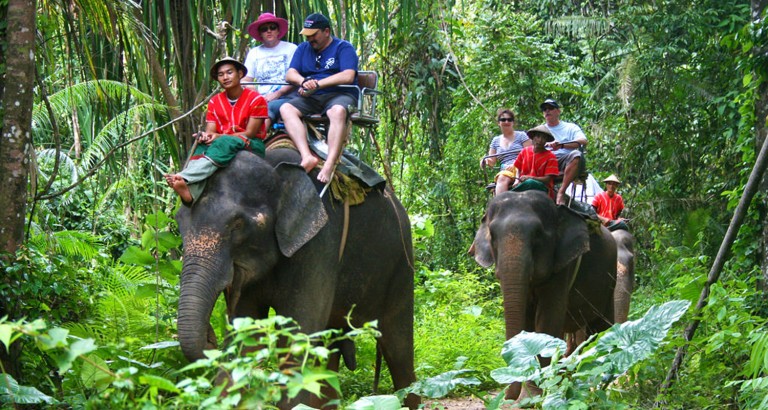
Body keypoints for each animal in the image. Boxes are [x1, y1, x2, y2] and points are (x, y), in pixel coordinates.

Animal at [175, 147, 418, 409]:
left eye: (237, 225)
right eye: (180, 222)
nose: (211, 338)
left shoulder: (318, 246)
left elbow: (296, 340)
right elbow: (246, 338)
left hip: (401, 267)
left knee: (398, 348)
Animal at [470, 189, 617, 399]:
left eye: (538, 234)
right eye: (493, 236)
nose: (507, 396)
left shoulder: (563, 265)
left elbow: (546, 320)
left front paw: (534, 395)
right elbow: (526, 321)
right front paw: (529, 395)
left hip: (610, 280)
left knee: (600, 330)